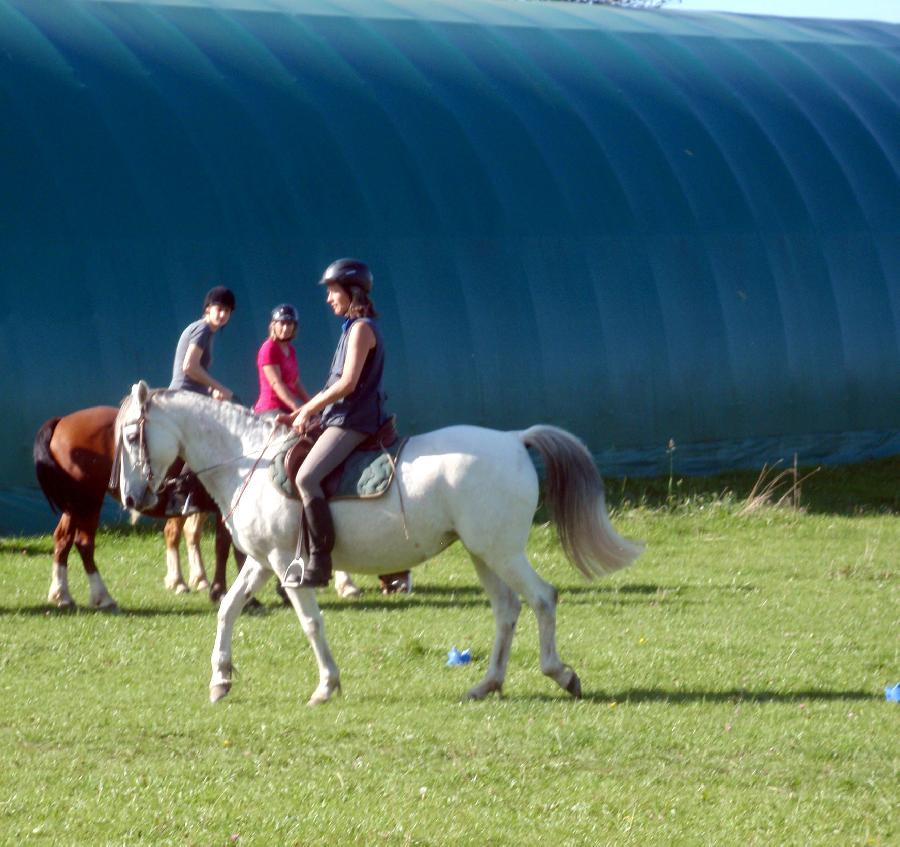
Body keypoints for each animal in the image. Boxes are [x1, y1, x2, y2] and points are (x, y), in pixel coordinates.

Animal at [114, 380, 648, 704]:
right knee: (507, 609)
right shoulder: (263, 562)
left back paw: (561, 674)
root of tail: (515, 439)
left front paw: (326, 686)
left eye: (132, 437)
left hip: (501, 550)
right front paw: (221, 680)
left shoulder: (287, 563)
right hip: (482, 551)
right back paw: (487, 684)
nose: (133, 497)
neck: (248, 460)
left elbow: (311, 622)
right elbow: (227, 610)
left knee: (542, 598)